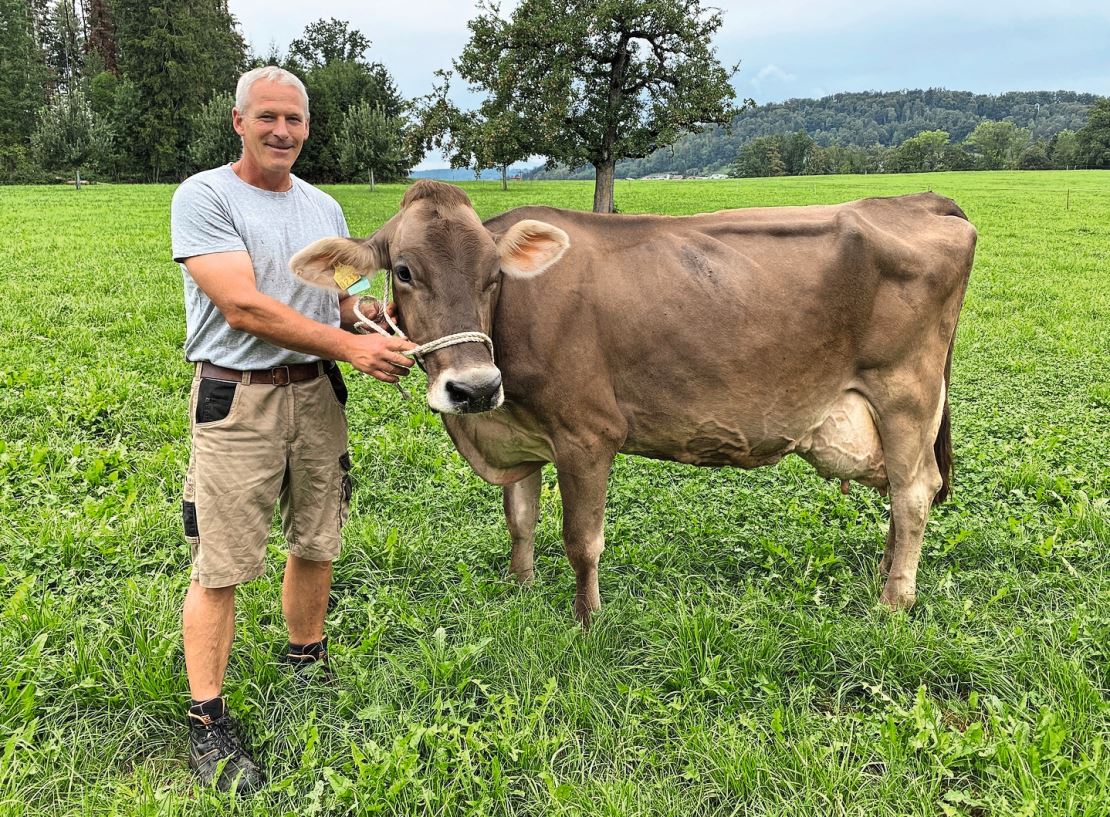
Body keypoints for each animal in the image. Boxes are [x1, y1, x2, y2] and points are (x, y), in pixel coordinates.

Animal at [290, 179, 976, 626]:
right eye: (404, 271)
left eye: (494, 275)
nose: (476, 387)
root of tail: (917, 200)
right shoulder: (522, 432)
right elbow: (520, 519)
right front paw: (521, 587)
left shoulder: (587, 435)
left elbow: (581, 538)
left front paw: (587, 617)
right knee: (903, 497)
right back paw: (886, 576)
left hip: (906, 393)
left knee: (913, 494)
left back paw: (894, 600)